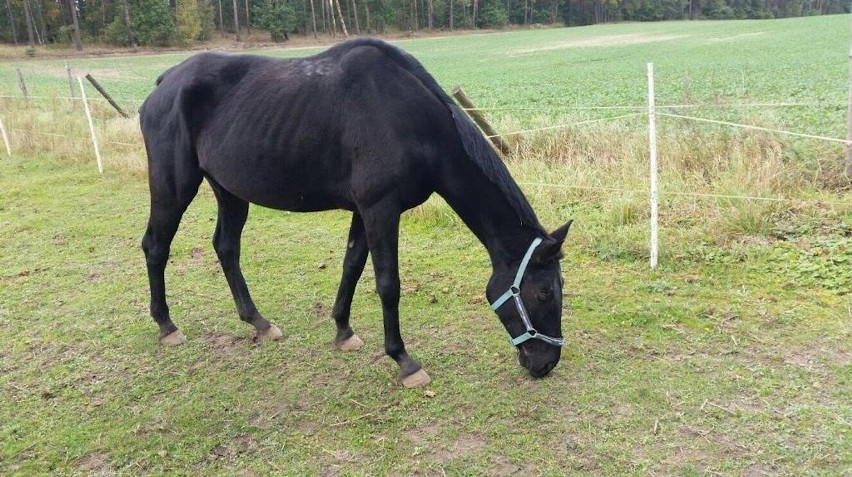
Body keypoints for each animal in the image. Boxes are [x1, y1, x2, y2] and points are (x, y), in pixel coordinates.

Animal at [141, 38, 572, 386]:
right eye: (545, 292)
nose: (546, 362)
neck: (410, 118)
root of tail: (165, 82)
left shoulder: (363, 211)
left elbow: (352, 265)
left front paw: (343, 332)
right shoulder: (381, 209)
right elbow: (388, 284)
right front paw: (404, 361)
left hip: (229, 191)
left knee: (226, 247)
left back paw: (260, 323)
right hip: (174, 187)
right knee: (156, 246)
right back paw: (166, 326)